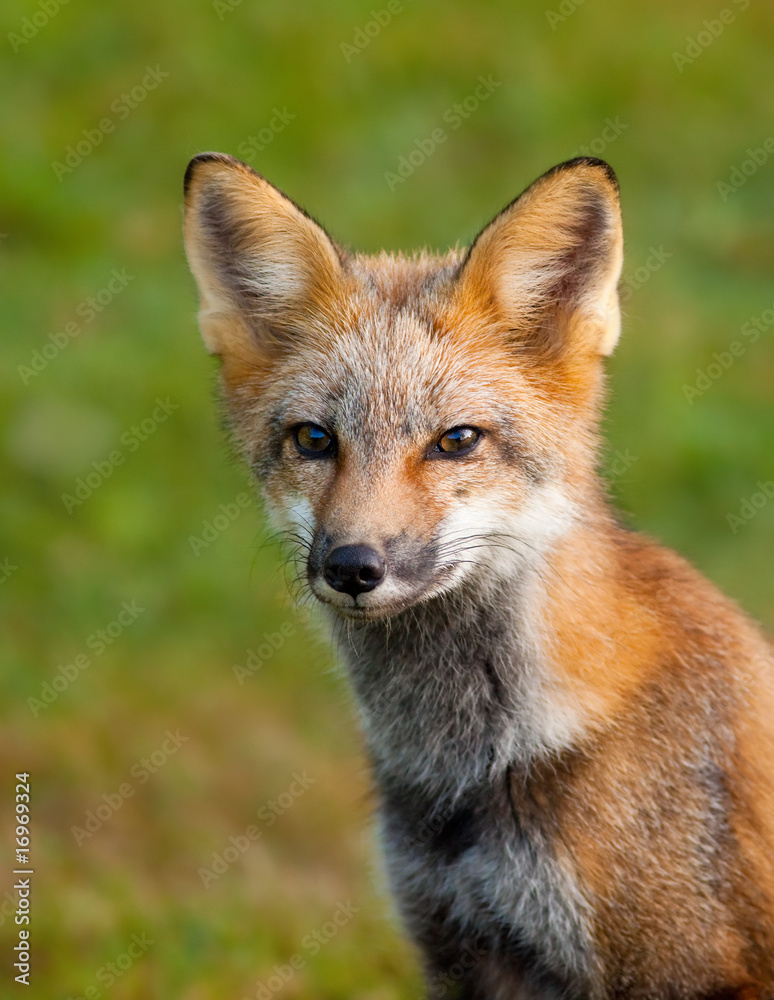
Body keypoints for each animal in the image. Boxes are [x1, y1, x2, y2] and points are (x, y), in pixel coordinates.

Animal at [183, 152, 774, 996]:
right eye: (314, 439)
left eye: (457, 441)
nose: (352, 565)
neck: (465, 774)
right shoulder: (457, 943)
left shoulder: (681, 964)